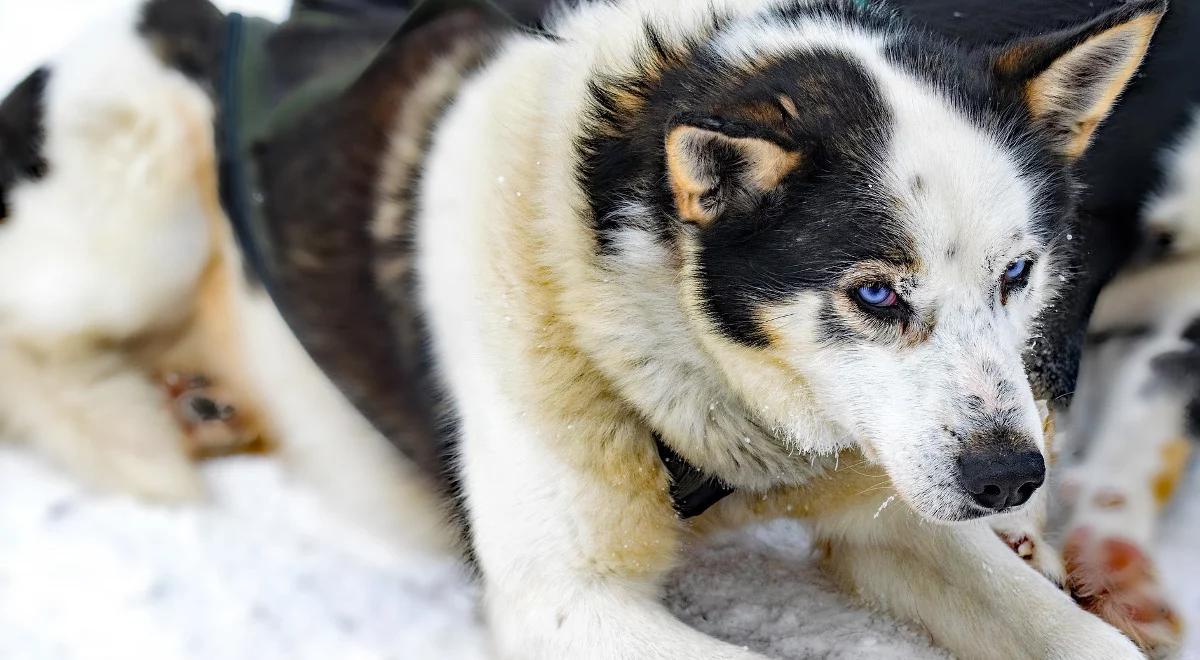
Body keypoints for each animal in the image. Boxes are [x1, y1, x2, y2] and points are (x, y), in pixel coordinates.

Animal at [0, 0, 1185, 657]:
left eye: (1018, 275)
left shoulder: (892, 511)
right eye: (878, 295)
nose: (1011, 478)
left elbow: (1082, 641)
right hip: (145, 212)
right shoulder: (563, 598)